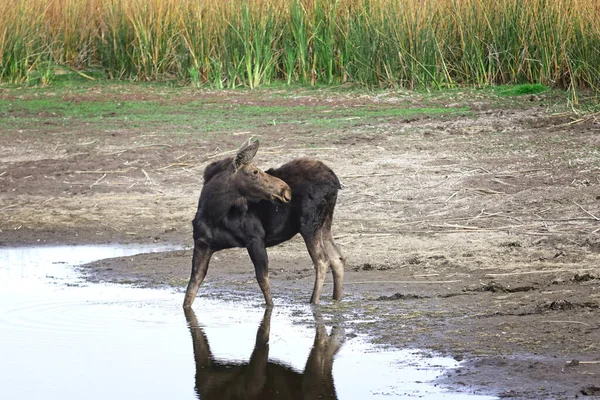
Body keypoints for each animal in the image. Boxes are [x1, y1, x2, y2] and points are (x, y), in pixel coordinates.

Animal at [183, 138, 344, 310]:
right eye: (254, 172)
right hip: (324, 224)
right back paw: (336, 299)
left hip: (309, 225)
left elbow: (264, 283)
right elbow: (191, 288)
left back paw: (314, 301)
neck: (213, 213)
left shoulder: (255, 239)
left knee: (323, 260)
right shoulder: (202, 244)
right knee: (337, 258)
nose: (285, 190)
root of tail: (335, 181)